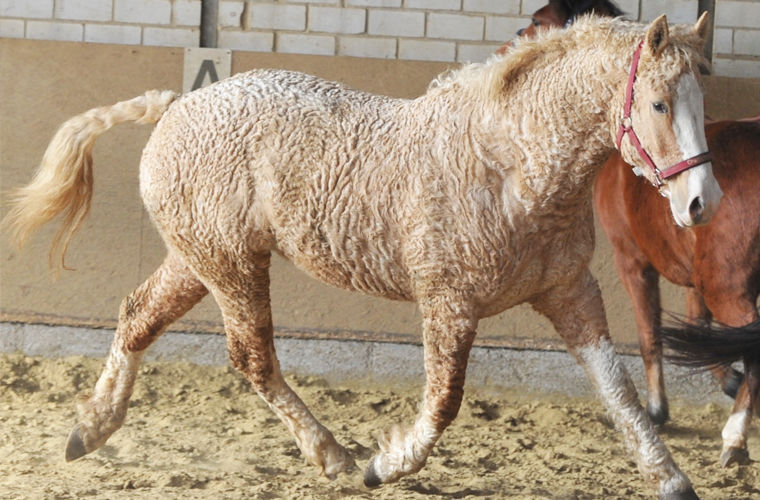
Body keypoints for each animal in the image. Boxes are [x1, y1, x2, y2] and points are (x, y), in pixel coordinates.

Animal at [4, 15, 718, 499]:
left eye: (701, 104)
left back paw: (91, 430)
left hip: (199, 260)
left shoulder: (570, 293)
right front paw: (384, 464)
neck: (510, 166)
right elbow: (444, 402)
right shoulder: (449, 303)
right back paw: (333, 455)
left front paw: (670, 478)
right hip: (231, 266)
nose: (700, 204)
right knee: (251, 356)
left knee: (137, 318)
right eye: (659, 104)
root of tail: (177, 105)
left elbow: (618, 389)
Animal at [504, 0, 760, 469]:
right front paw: (726, 379)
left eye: (536, 22)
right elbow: (698, 328)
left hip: (727, 288)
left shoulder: (634, 262)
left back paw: (734, 437)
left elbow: (650, 333)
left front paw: (658, 408)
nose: (703, 201)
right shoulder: (692, 272)